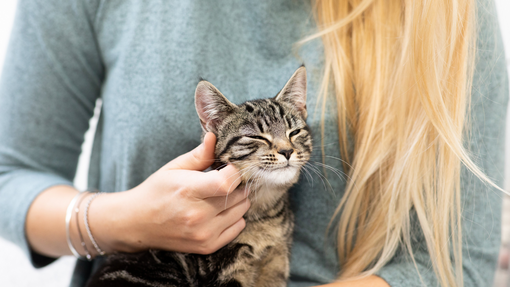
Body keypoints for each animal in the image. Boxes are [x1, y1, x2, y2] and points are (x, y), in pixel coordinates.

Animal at [84, 66, 310, 286]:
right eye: (256, 137)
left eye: (294, 132)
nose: (287, 151)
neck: (264, 211)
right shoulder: (226, 271)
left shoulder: (277, 262)